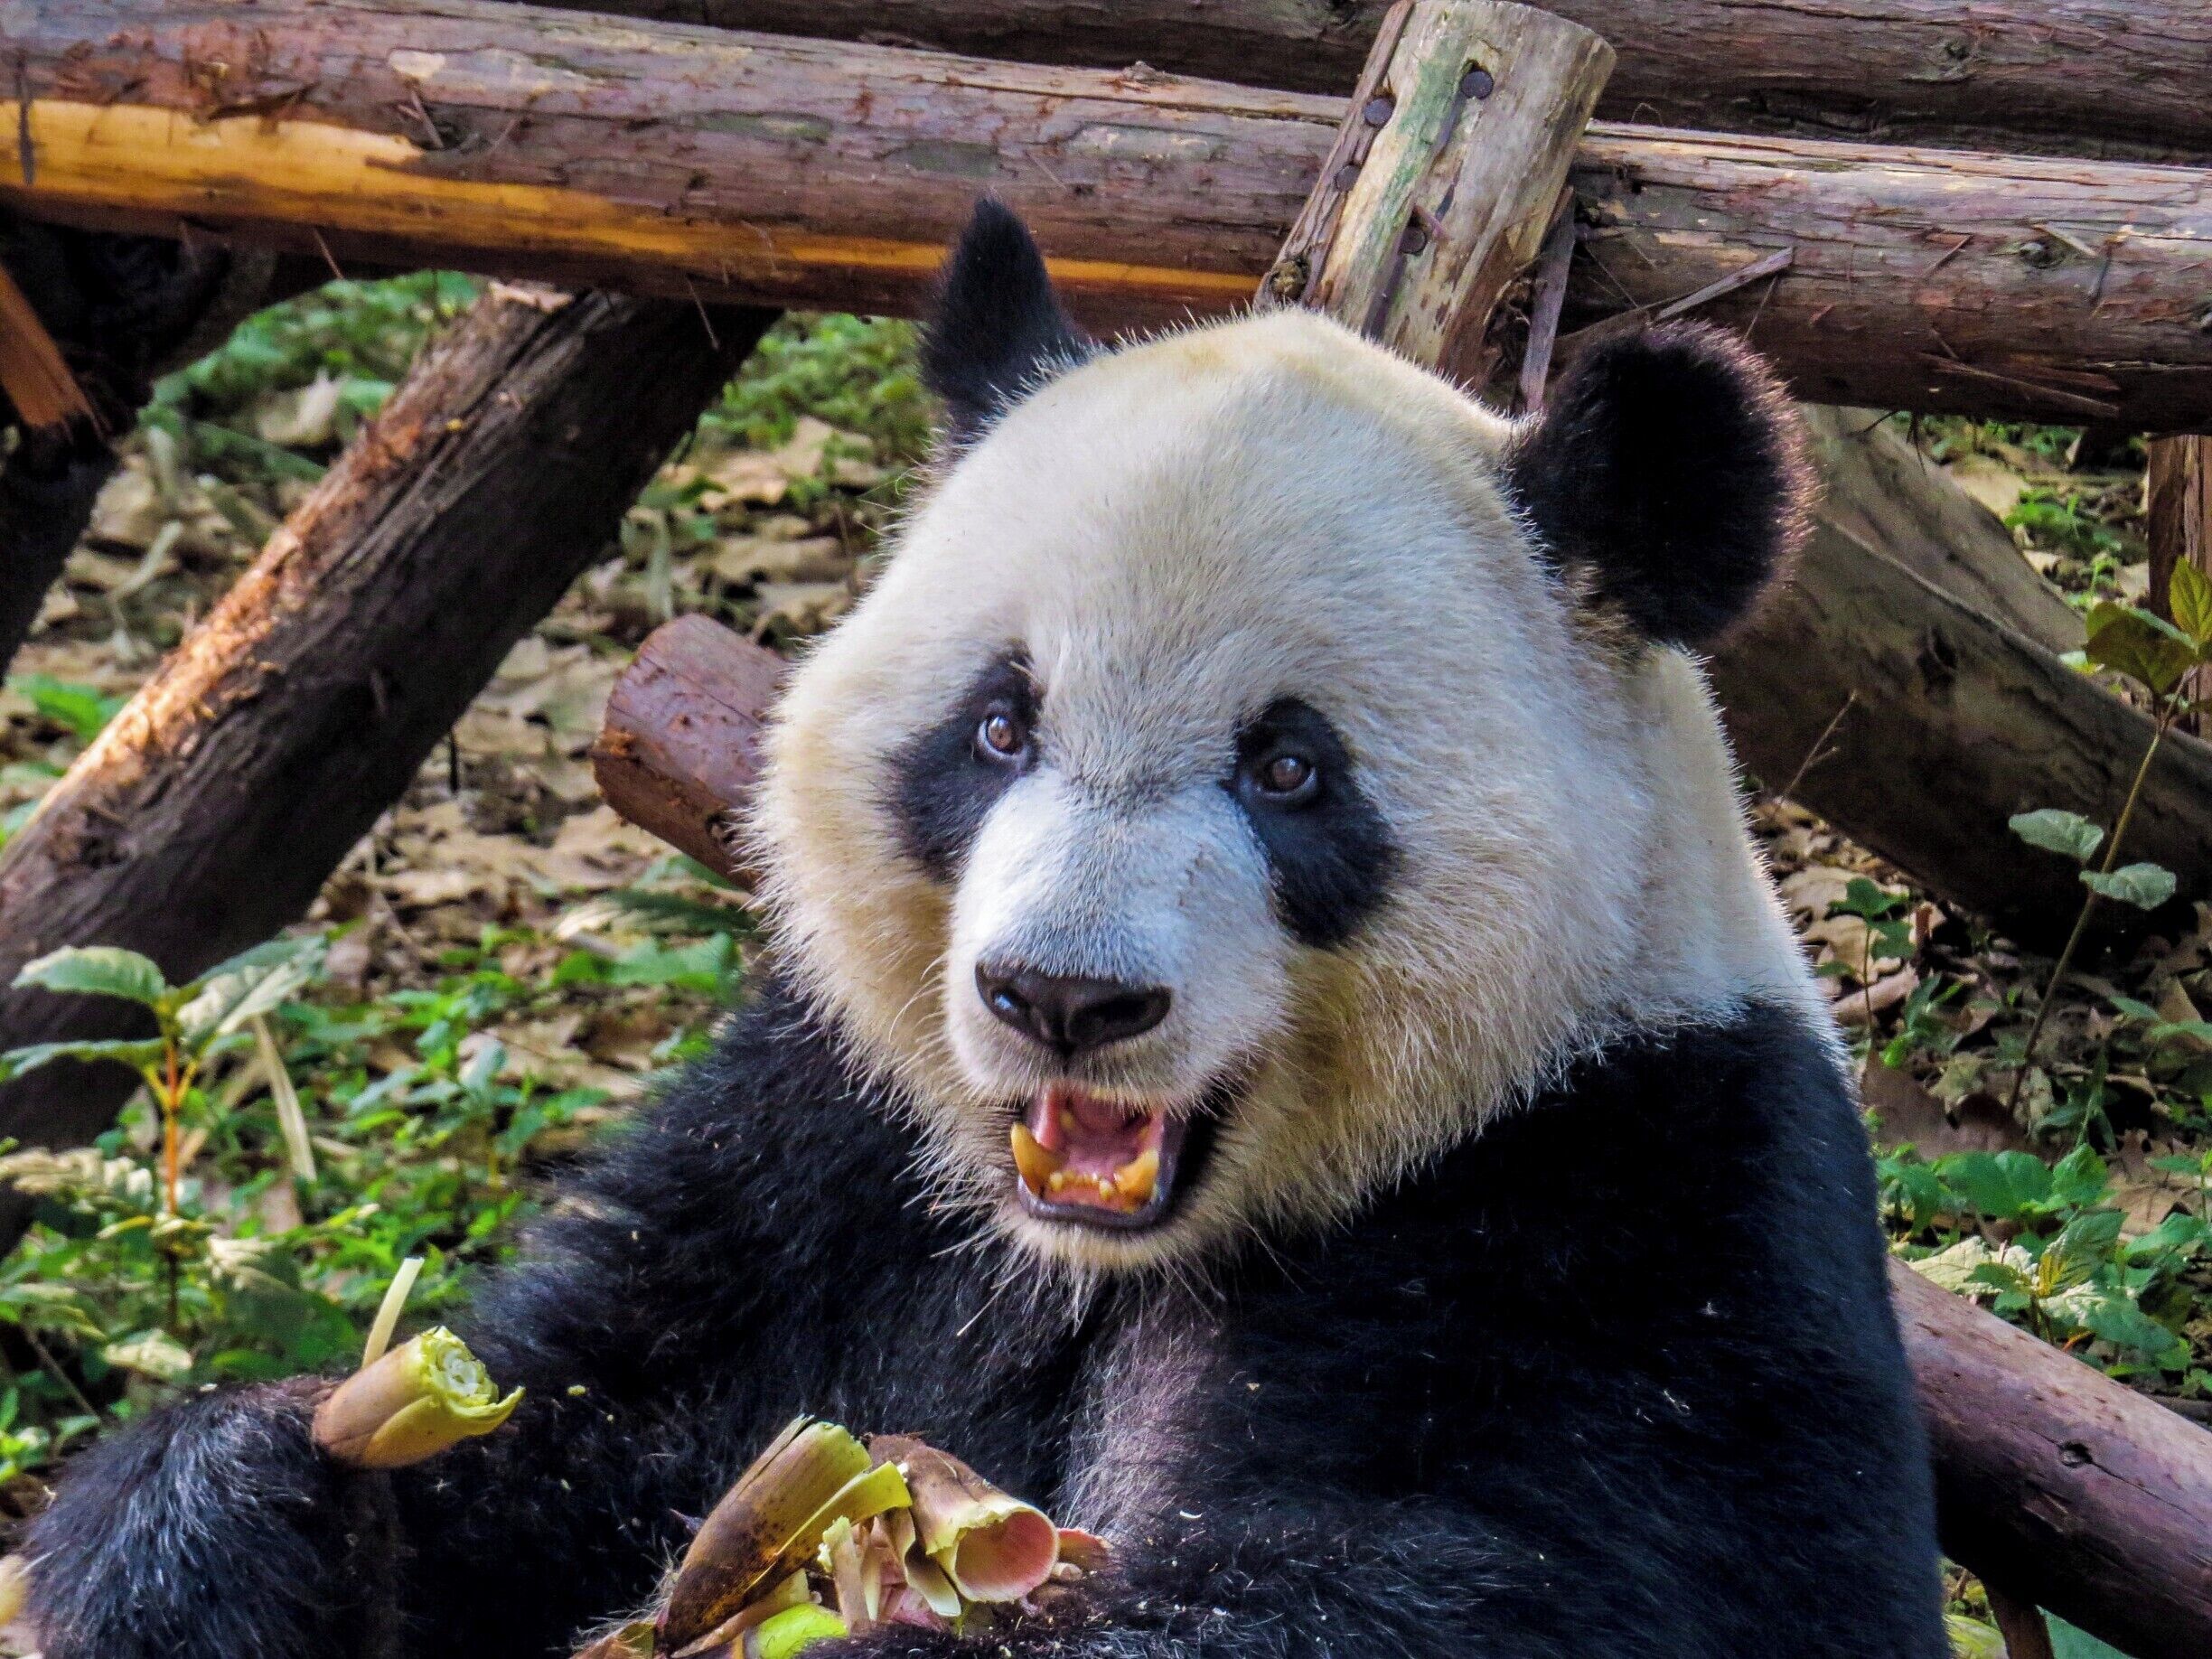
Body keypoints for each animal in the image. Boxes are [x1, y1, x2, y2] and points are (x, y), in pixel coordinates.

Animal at [23, 201, 1947, 1659]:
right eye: (999, 725)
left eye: (1289, 767)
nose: (1063, 997)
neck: (1098, 1254)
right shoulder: (822, 1146)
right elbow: (576, 1423)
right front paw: (211, 1527)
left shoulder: (1628, 1221)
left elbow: (1434, 1584)